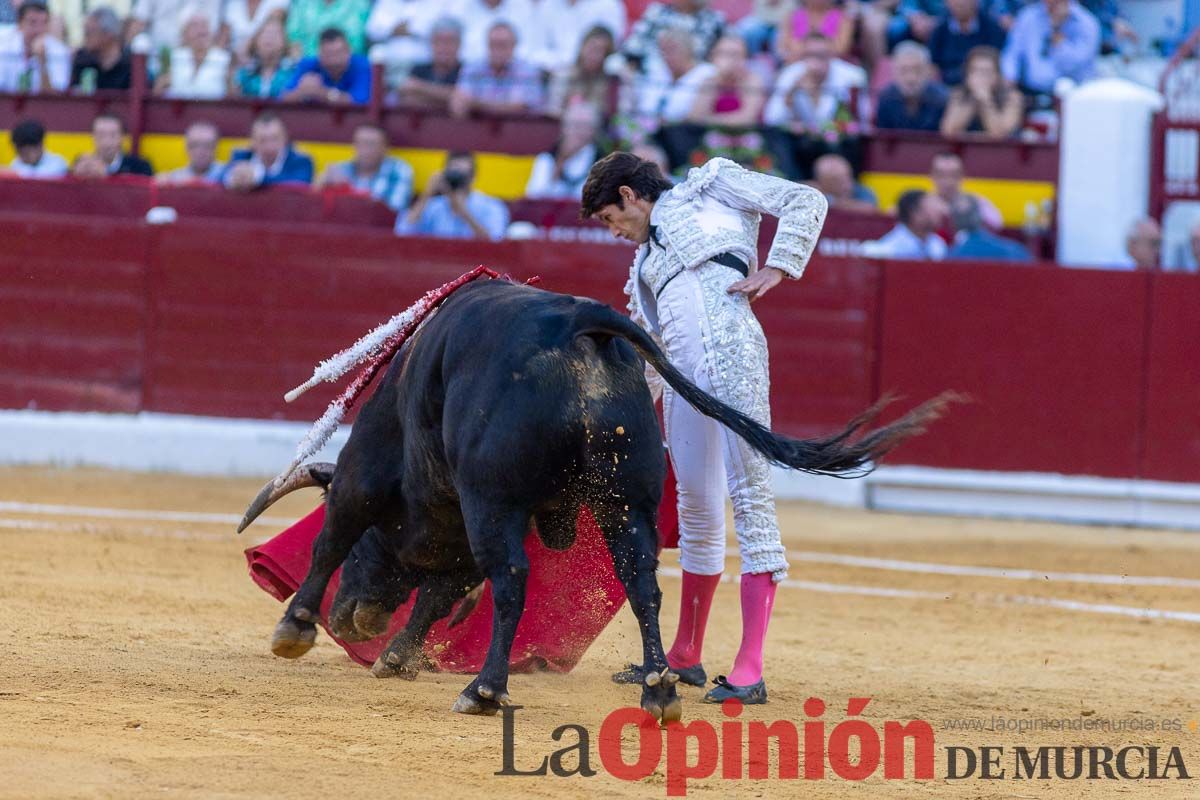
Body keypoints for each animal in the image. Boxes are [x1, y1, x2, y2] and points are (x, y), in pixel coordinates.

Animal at [238, 278, 950, 724]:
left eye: (372, 549)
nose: (354, 619)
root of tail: (581, 322)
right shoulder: (471, 520)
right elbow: (444, 587)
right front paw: (395, 657)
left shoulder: (391, 474)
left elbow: (338, 536)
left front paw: (297, 629)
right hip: (625, 500)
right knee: (643, 583)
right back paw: (659, 691)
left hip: (500, 498)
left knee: (514, 582)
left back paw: (485, 690)